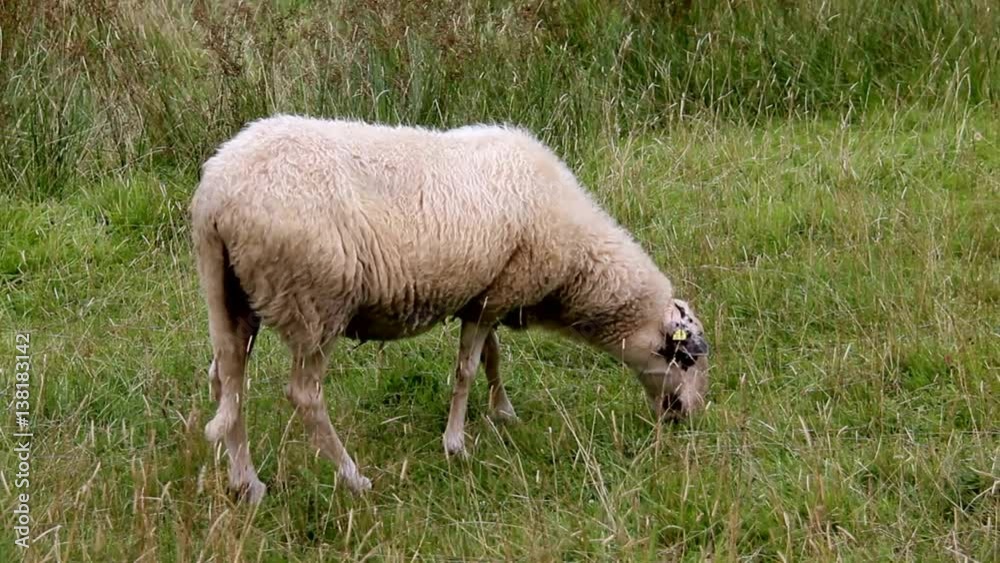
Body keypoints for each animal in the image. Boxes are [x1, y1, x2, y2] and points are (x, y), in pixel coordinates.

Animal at [191, 117, 708, 504]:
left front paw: (503, 412)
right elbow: (465, 370)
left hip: (232, 296)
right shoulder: (496, 296)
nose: (687, 416)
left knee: (227, 380)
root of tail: (215, 195)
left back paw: (247, 483)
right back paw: (352, 477)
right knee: (303, 395)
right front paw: (456, 443)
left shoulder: (490, 292)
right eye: (683, 357)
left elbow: (492, 357)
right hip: (313, 304)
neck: (579, 264)